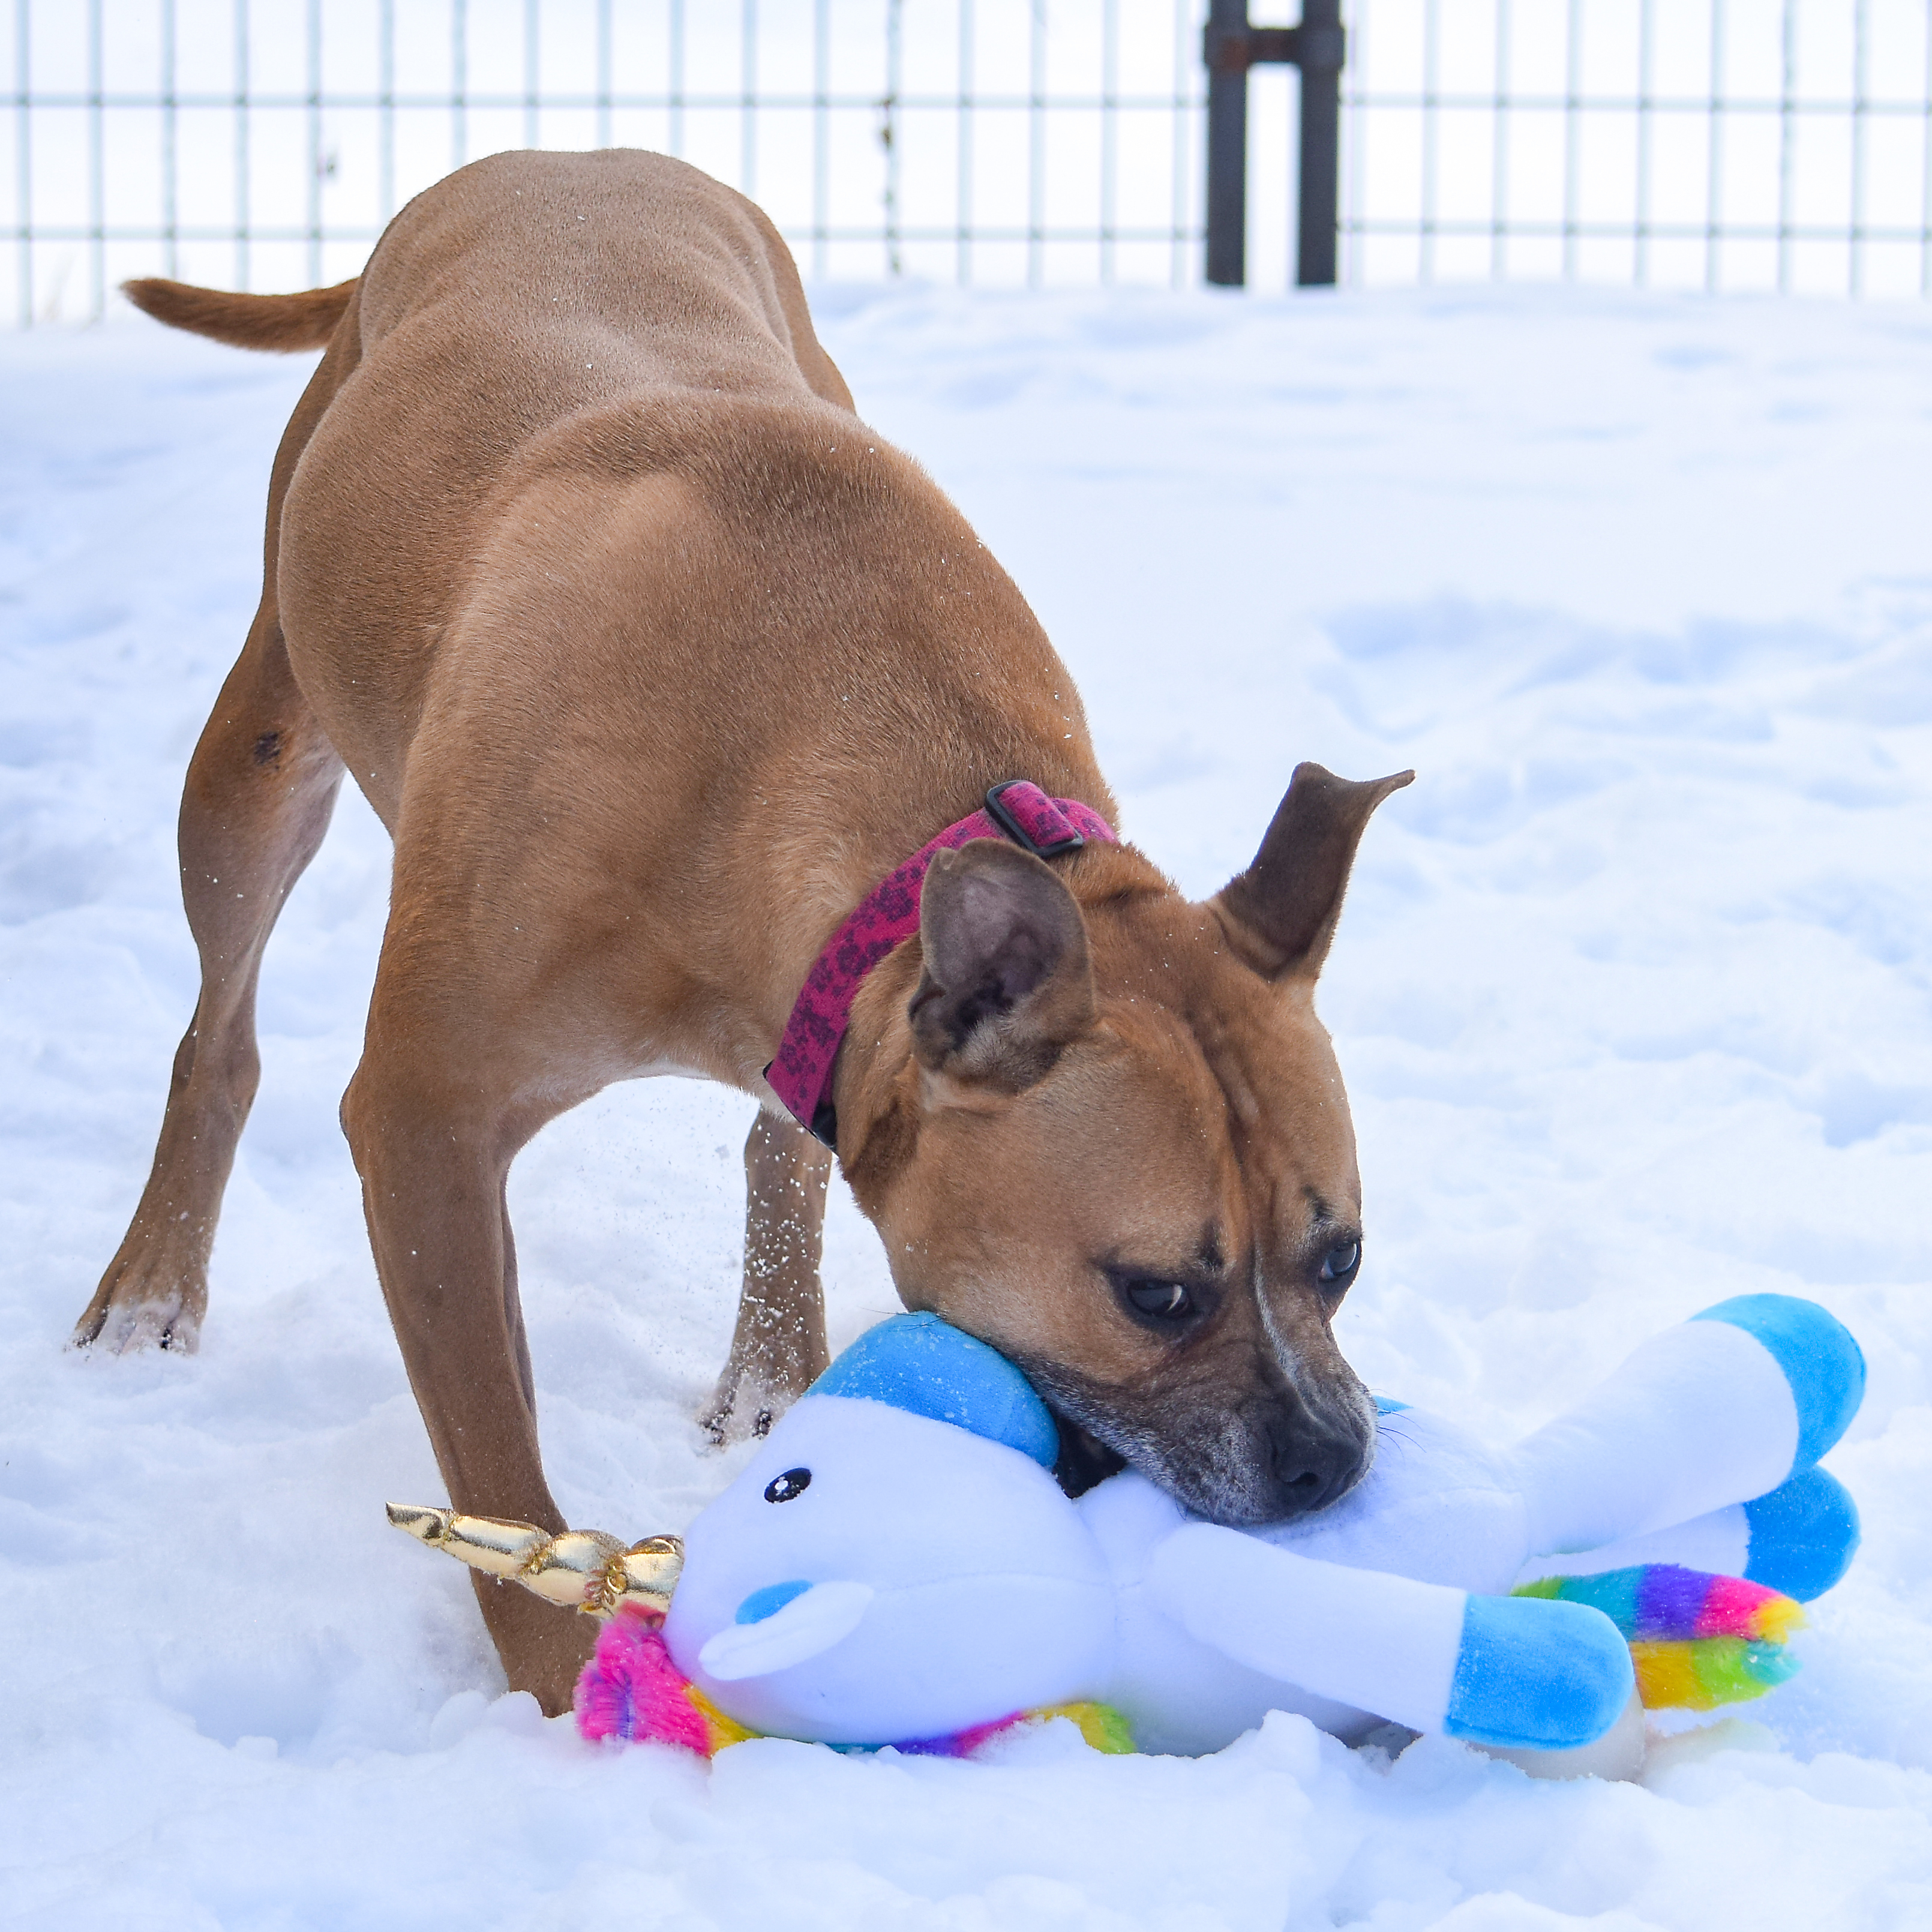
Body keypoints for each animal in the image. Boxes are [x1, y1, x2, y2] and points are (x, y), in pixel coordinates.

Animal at [75, 158, 1414, 1715]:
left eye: (1341, 1258)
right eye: (1155, 1292)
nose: (1332, 1463)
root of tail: (537, 159)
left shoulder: (811, 1017)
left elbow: (788, 1145)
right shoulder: (423, 1124)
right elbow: (497, 1464)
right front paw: (565, 1693)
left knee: (778, 1146)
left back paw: (776, 1365)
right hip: (260, 751)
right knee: (218, 1029)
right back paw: (150, 1285)